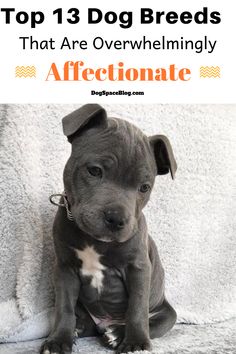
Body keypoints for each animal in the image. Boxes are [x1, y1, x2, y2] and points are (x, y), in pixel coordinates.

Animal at [41, 103, 177, 352]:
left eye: (144, 187)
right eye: (94, 171)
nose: (116, 219)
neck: (95, 241)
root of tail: (104, 324)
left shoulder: (138, 268)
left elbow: (137, 309)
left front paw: (136, 343)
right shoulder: (64, 269)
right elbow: (64, 308)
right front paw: (58, 339)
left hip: (166, 314)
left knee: (151, 322)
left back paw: (116, 333)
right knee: (81, 318)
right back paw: (79, 329)